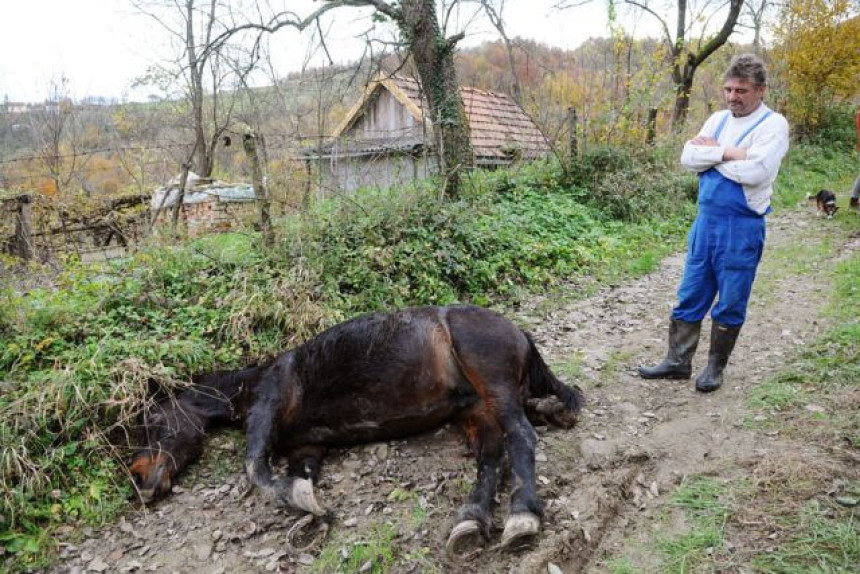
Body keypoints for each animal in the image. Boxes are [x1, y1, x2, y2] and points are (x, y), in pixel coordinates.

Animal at [129, 306, 584, 560]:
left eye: (151, 422)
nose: (139, 481)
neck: (252, 383)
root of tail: (518, 332)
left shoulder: (265, 409)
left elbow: (255, 467)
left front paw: (299, 502)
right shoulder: (308, 445)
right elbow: (301, 476)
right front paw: (307, 512)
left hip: (493, 385)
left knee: (521, 438)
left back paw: (522, 516)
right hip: (476, 411)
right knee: (491, 457)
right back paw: (469, 521)